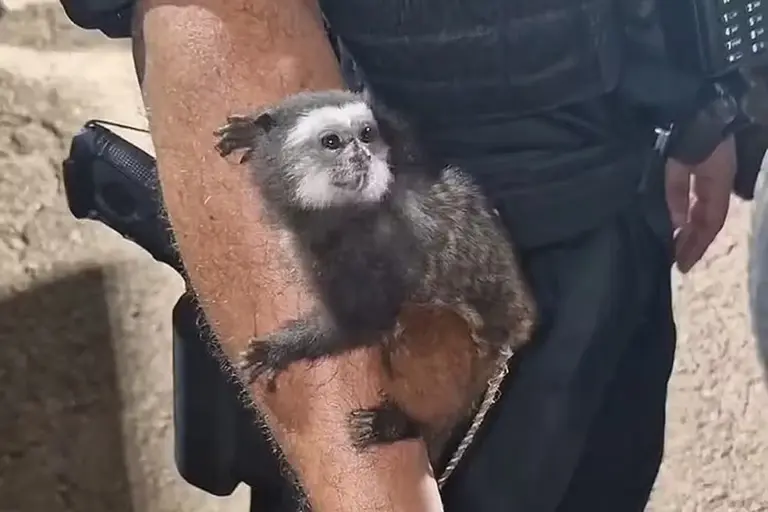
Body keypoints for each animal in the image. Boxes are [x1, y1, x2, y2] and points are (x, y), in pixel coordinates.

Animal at [214, 89, 536, 450]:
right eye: (332, 141)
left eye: (366, 134)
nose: (362, 155)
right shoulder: (404, 166)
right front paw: (252, 132)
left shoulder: (362, 253)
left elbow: (363, 323)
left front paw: (279, 350)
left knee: (433, 324)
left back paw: (404, 425)